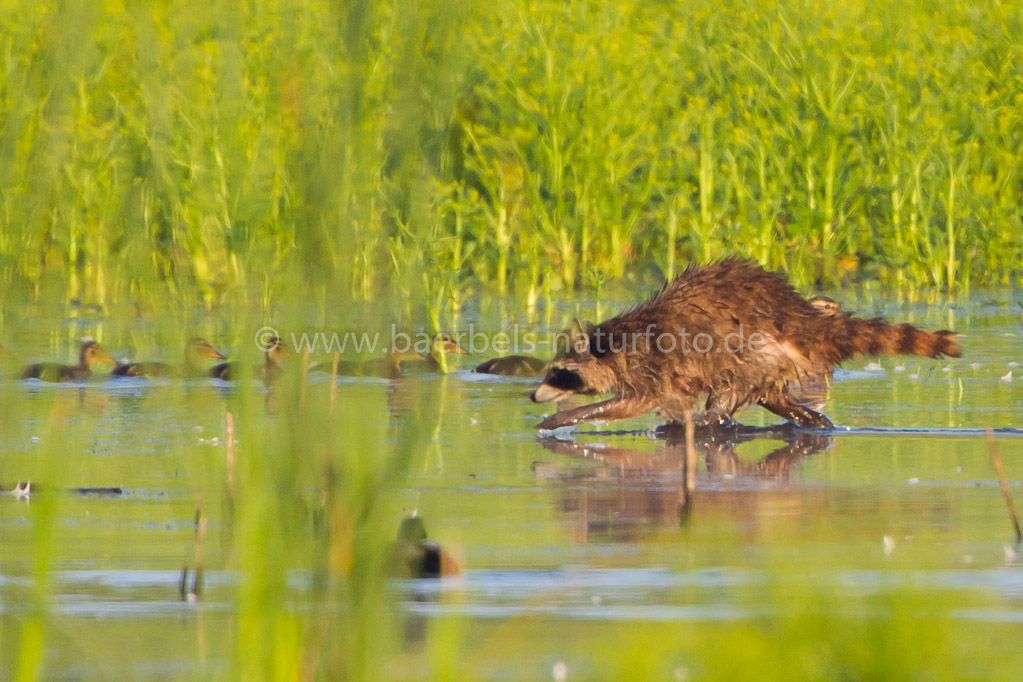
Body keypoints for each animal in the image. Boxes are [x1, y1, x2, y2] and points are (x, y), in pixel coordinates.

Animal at [531, 258, 961, 429]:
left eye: (560, 374)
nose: (534, 396)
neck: (617, 339)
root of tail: (800, 317)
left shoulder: (650, 365)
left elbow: (637, 402)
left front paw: (569, 416)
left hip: (752, 348)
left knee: (727, 393)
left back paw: (709, 421)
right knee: (775, 397)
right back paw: (811, 420)